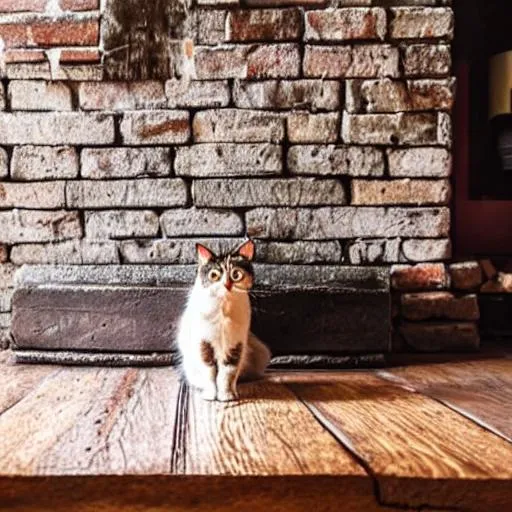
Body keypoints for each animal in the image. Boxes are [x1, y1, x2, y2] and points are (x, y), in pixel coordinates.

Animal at [176, 238, 272, 402]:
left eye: (236, 274)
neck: (222, 310)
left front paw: (226, 396)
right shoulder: (204, 344)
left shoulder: (236, 344)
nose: (227, 285)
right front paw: (210, 395)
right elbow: (209, 372)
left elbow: (228, 373)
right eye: (214, 275)